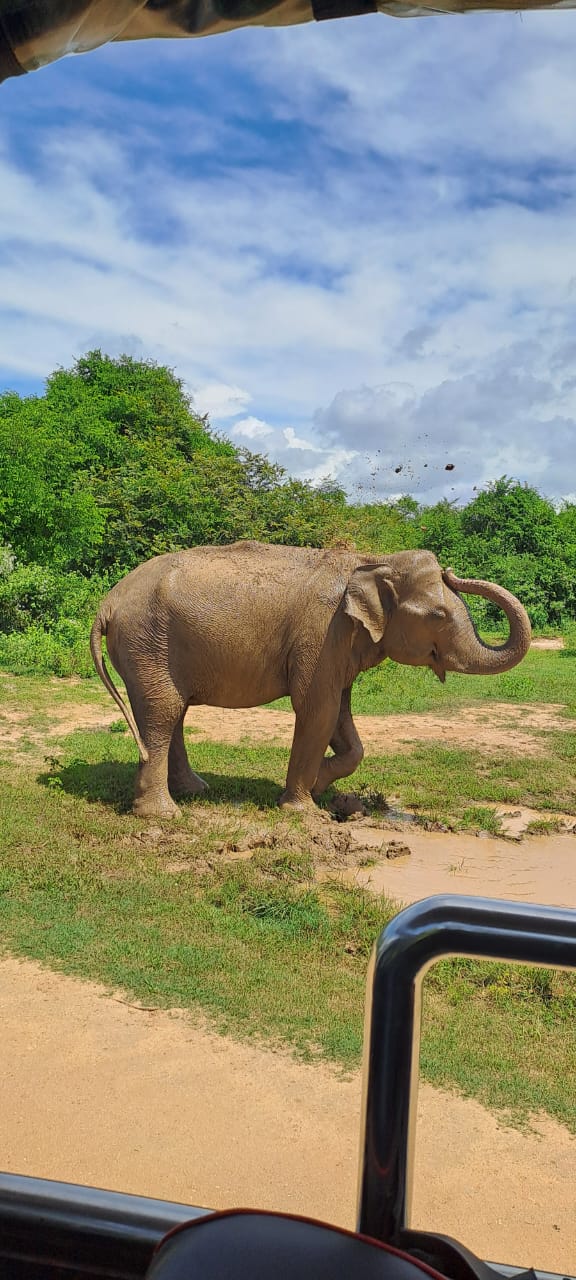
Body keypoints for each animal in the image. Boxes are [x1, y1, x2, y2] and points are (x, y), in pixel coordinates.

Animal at [90, 541, 531, 819]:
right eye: (438, 616)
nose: (452, 571)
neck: (371, 560)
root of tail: (107, 603)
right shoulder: (322, 635)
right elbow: (318, 709)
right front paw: (305, 811)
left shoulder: (340, 645)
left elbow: (342, 715)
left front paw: (320, 786)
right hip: (148, 644)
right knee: (162, 714)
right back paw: (164, 816)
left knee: (173, 713)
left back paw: (196, 791)